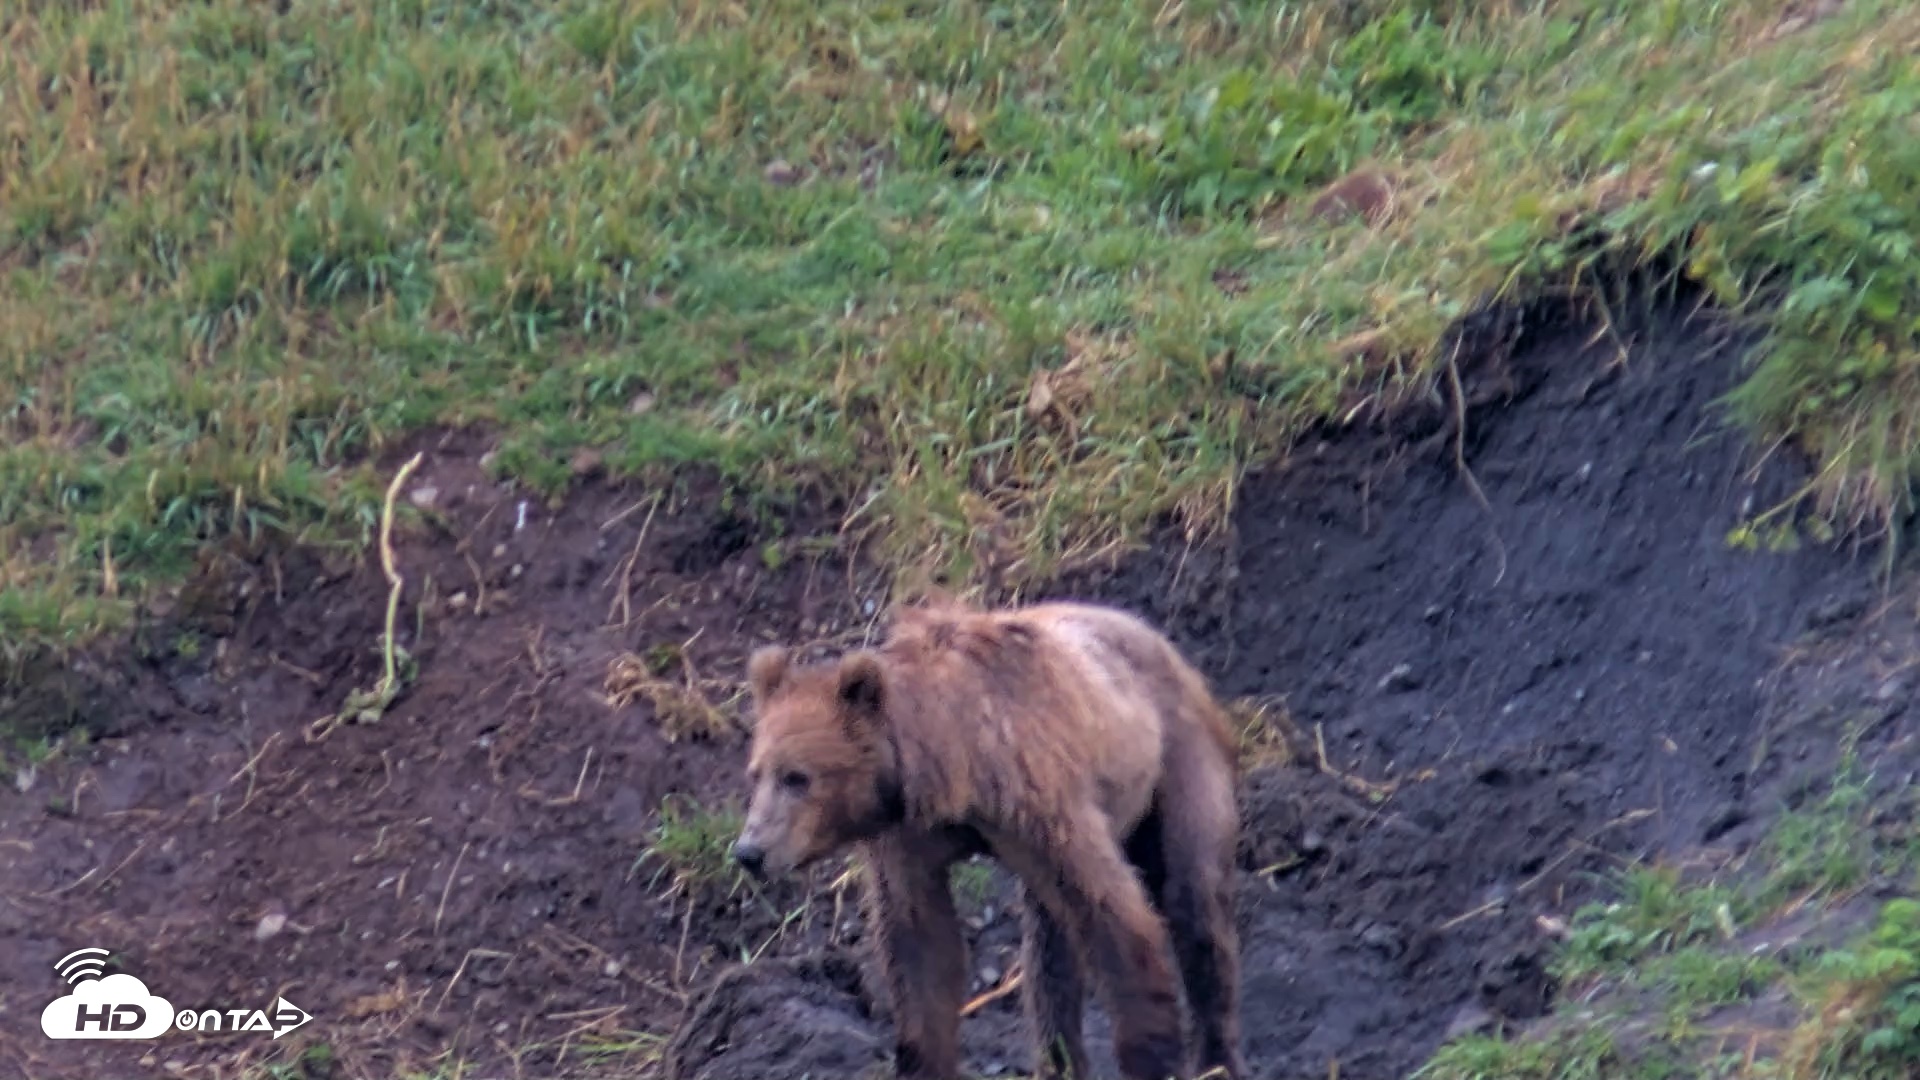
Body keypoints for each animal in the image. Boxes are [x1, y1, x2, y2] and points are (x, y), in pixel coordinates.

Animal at [729, 595, 1246, 1080]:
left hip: (1175, 758)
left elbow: (1116, 917)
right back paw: (1057, 1063)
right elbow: (920, 948)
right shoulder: (909, 838)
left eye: (797, 777)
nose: (749, 851)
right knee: (1050, 950)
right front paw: (924, 1060)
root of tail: (1153, 634)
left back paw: (1216, 1058)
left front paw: (1154, 1057)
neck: (953, 762)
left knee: (1194, 901)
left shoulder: (1039, 802)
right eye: (756, 774)